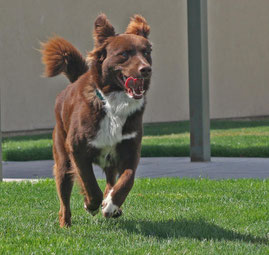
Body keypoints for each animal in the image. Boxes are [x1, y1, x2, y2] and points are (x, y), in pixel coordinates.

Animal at [41, 13, 152, 227]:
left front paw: (111, 205)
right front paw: (90, 204)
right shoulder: (77, 149)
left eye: (147, 52)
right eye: (124, 54)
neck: (114, 104)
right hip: (63, 159)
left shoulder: (130, 149)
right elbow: (89, 183)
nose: (146, 69)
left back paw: (112, 205)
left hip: (110, 161)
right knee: (64, 198)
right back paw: (65, 224)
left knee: (110, 180)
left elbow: (127, 180)